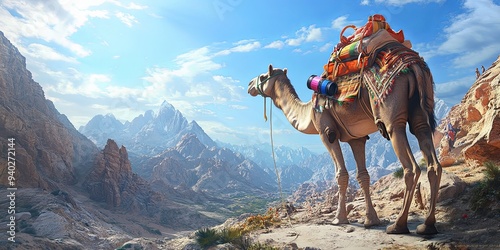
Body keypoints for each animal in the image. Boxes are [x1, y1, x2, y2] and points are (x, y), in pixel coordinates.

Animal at [246, 62, 442, 234]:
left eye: (263, 76)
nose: (249, 85)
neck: (309, 112)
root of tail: (414, 66)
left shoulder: (326, 131)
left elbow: (341, 174)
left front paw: (339, 219)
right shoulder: (356, 138)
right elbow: (363, 176)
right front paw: (371, 220)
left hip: (391, 115)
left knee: (411, 167)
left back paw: (398, 225)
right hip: (420, 113)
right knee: (432, 159)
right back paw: (427, 225)